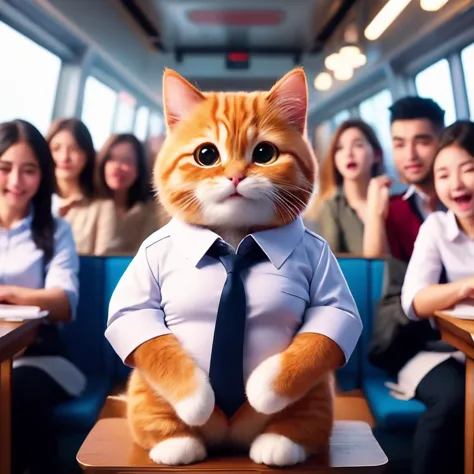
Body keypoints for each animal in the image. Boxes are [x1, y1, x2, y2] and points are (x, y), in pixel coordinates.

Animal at [123, 67, 344, 466]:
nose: (236, 176)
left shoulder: (327, 275)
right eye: (206, 154)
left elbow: (319, 338)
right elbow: (151, 339)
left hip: (318, 392)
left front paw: (263, 389)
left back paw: (281, 441)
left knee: (309, 420)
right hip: (144, 388)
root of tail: (228, 439)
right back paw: (176, 442)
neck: (234, 241)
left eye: (265, 153)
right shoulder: (141, 283)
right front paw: (196, 398)